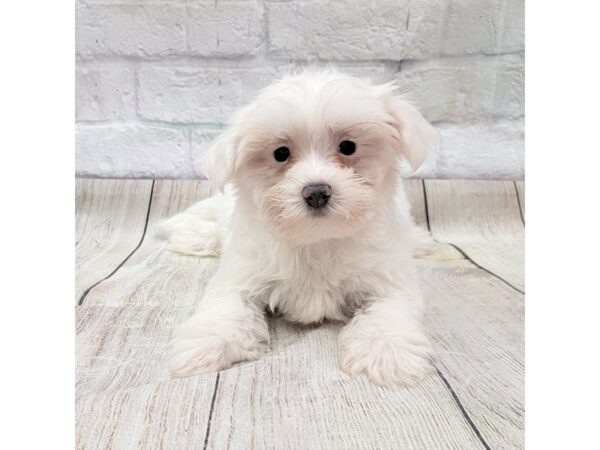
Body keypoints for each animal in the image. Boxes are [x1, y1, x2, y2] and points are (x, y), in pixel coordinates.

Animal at [161, 67, 436, 386]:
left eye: (348, 147)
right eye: (281, 153)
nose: (316, 192)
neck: (316, 239)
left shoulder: (388, 277)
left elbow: (389, 309)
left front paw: (386, 349)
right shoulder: (242, 272)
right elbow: (227, 305)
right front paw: (209, 341)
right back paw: (194, 236)